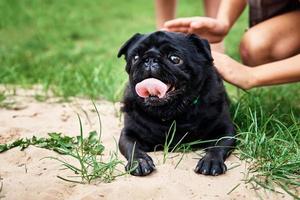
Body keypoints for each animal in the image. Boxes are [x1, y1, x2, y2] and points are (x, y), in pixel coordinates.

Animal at [118, 30, 237, 177]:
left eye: (175, 59)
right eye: (135, 57)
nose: (150, 59)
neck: (172, 112)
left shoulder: (226, 130)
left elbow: (218, 146)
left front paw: (211, 161)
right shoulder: (129, 133)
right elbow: (132, 147)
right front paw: (139, 162)